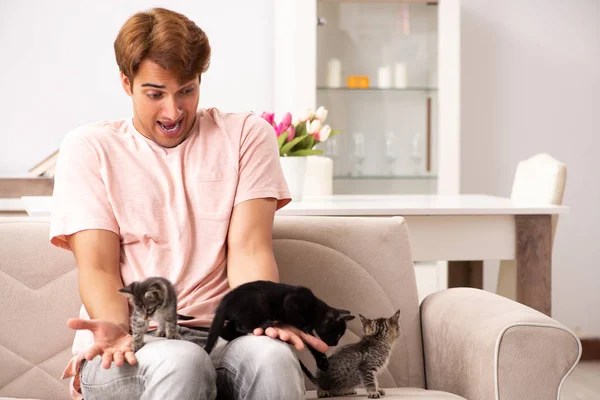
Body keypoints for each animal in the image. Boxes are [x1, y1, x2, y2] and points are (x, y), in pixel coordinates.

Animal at [206, 280, 356, 370]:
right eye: (337, 334)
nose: (335, 344)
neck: (316, 308)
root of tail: (226, 299)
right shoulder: (291, 301)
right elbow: (297, 320)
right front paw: (305, 327)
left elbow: (312, 344)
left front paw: (322, 361)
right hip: (258, 300)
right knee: (242, 324)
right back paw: (265, 324)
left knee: (225, 331)